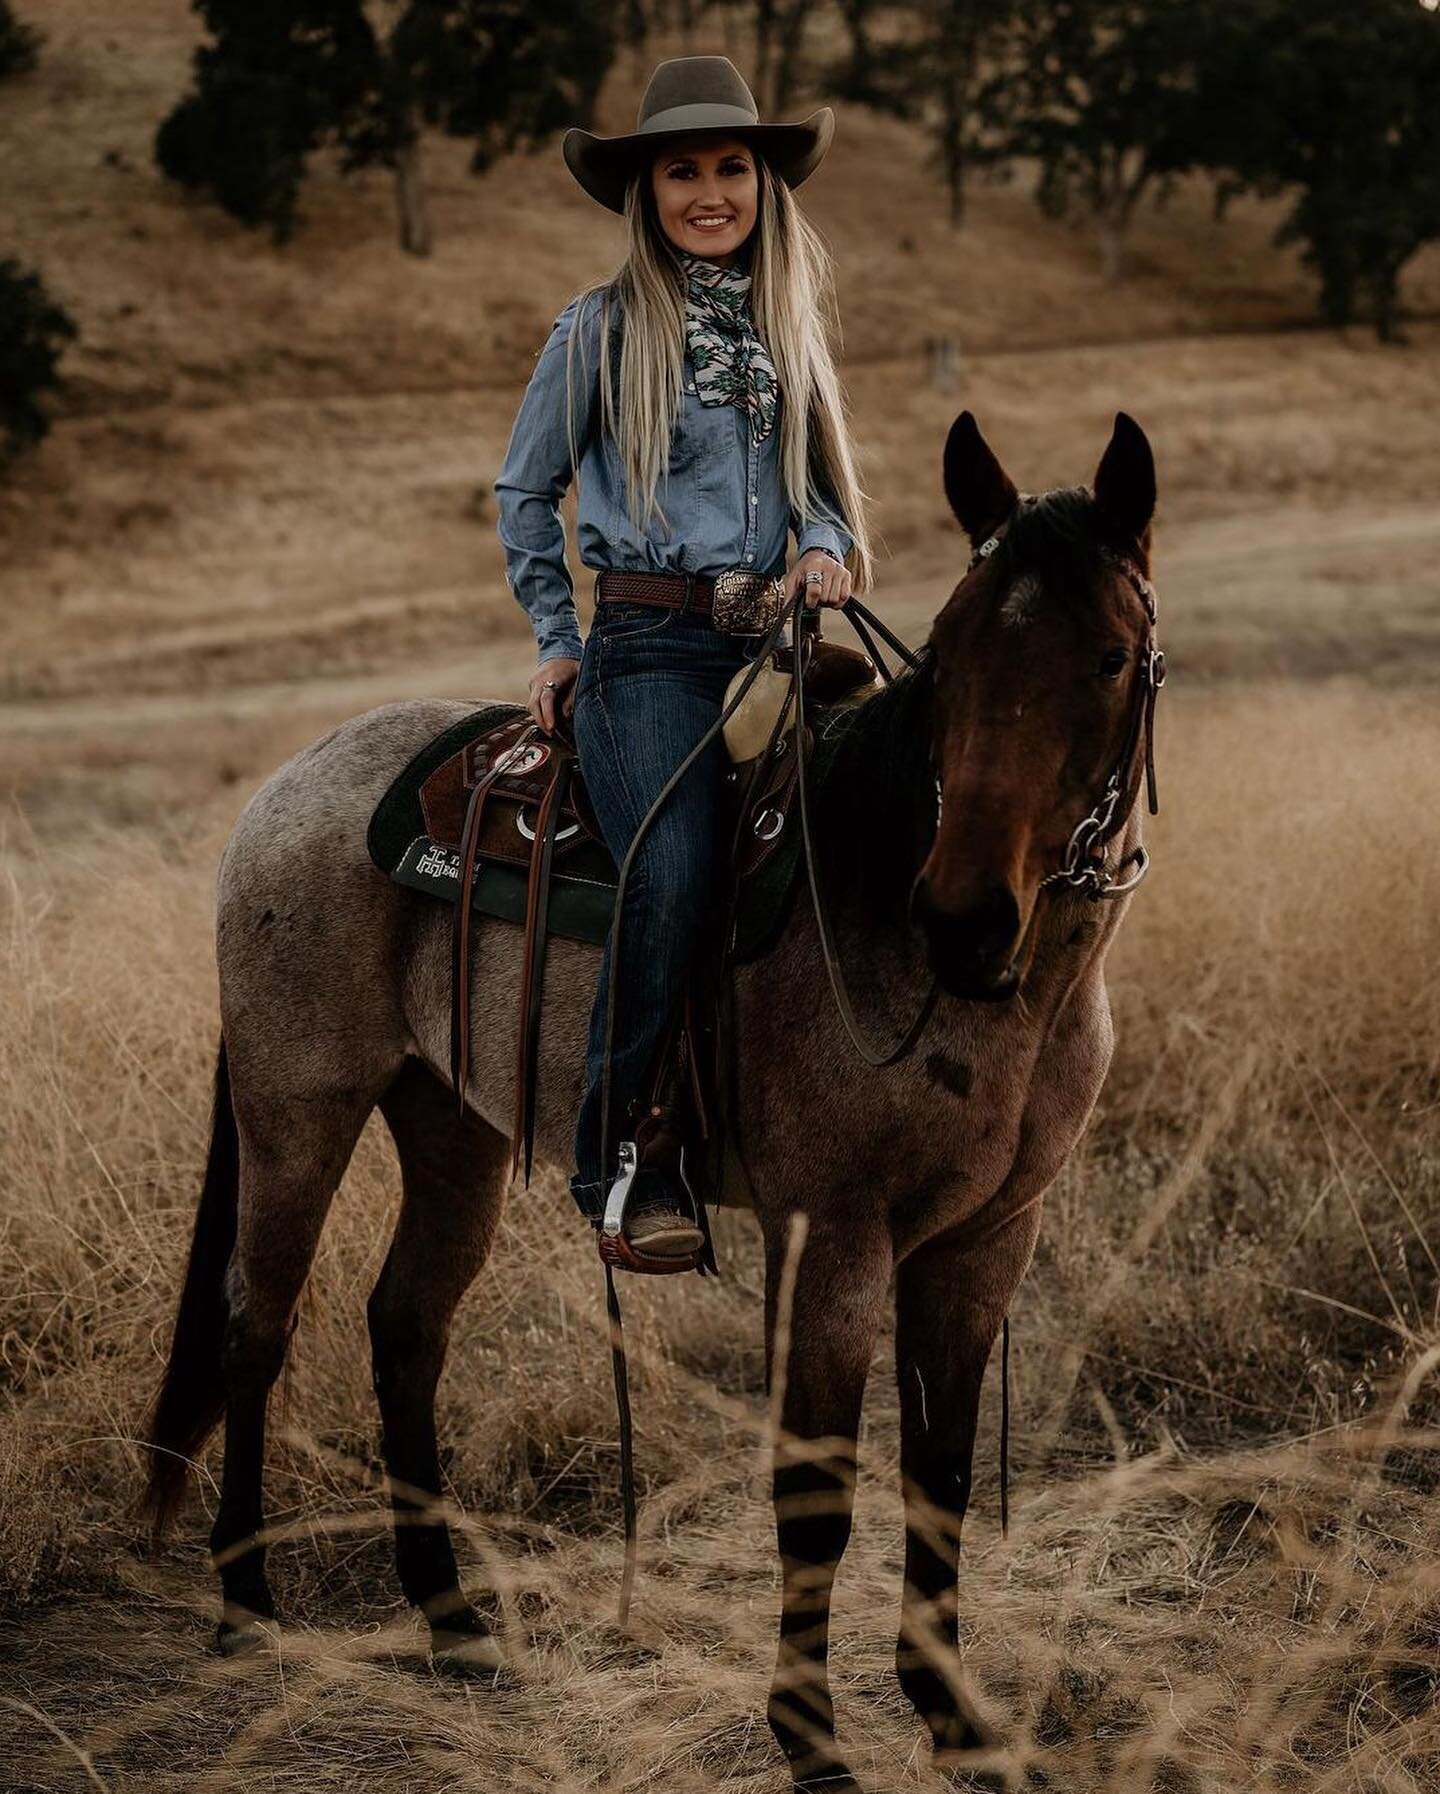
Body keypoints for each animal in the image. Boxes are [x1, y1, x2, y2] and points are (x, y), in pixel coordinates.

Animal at [143, 410, 1162, 1794]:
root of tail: (283, 792)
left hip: (448, 1129)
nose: (962, 918)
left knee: (403, 1326)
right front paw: (810, 1738)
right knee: (259, 1321)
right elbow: (817, 1491)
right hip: (295, 1112)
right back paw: (247, 1608)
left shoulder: (987, 1240)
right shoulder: (830, 1239)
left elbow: (940, 1473)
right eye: (952, 654)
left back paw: (454, 1622)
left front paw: (953, 1719)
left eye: (1109, 657)